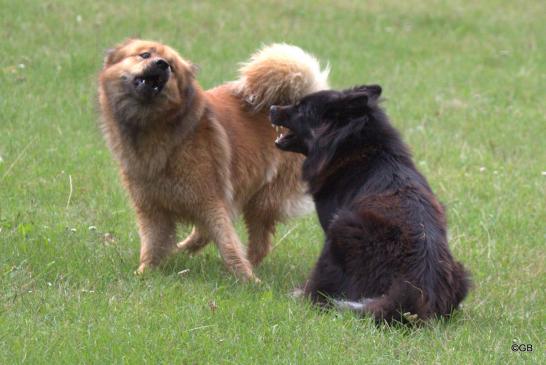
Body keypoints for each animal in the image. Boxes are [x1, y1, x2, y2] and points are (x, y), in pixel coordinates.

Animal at [97, 39, 328, 278]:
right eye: (144, 55)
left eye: (171, 66)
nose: (162, 64)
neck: (155, 126)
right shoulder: (152, 209)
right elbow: (153, 245)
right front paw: (145, 272)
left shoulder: (211, 200)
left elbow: (227, 241)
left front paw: (246, 278)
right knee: (206, 234)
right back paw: (182, 251)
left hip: (264, 200)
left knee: (258, 243)